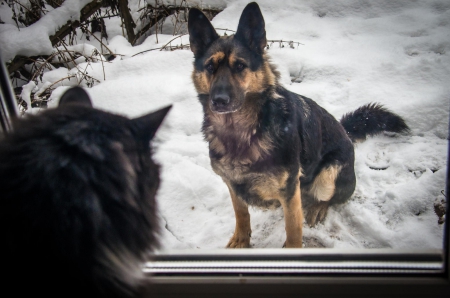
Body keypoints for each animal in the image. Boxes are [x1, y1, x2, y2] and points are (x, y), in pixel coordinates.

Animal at [186, 2, 408, 248]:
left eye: (240, 66)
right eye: (210, 67)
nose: (219, 100)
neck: (242, 132)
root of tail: (345, 133)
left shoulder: (291, 190)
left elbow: (293, 228)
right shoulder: (233, 185)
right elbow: (241, 214)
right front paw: (241, 240)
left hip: (328, 175)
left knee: (332, 197)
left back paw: (319, 208)